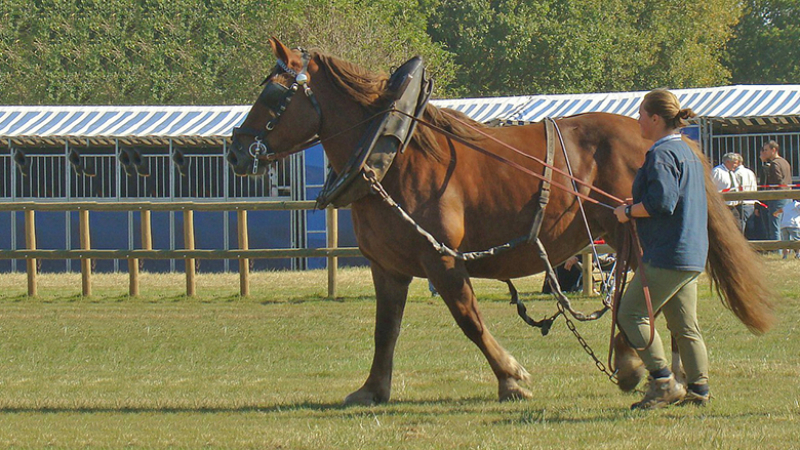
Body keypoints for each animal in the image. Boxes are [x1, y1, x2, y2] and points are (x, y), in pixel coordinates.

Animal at [227, 37, 773, 405]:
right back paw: (673, 377)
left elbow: (469, 319)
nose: (235, 150)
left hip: (634, 232)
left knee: (642, 296)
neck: (393, 150)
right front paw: (372, 389)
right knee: (661, 298)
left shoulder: (443, 260)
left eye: (273, 96)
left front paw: (511, 377)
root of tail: (660, 137)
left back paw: (635, 367)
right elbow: (386, 329)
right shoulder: (389, 268)